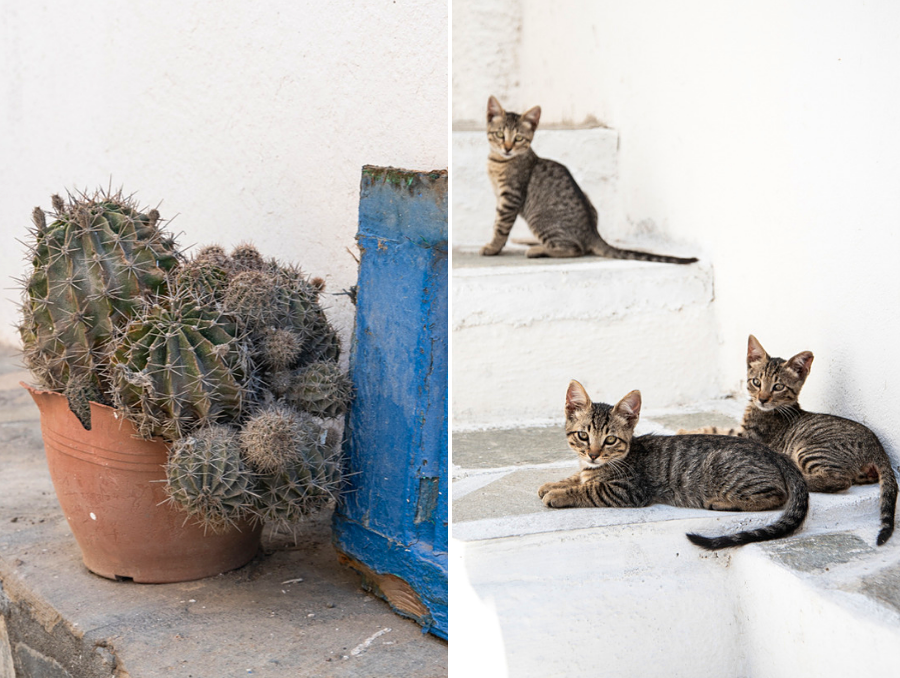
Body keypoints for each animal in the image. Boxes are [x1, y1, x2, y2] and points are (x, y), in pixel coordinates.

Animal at [482, 95, 700, 262]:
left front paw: (493, 247)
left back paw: (538, 250)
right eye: (500, 134)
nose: (507, 148)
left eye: (519, 138)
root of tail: (593, 232)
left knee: (575, 249)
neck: (499, 162)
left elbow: (500, 226)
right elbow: (497, 224)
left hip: (540, 219)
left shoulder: (510, 197)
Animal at [536, 382, 812, 552]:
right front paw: (553, 483)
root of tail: (774, 453)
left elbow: (589, 489)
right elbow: (579, 478)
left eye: (610, 440)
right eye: (583, 436)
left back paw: (723, 503)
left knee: (776, 495)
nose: (593, 454)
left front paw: (558, 494)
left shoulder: (629, 490)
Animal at [680, 336, 896, 548]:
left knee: (840, 480)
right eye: (756, 382)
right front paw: (686, 429)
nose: (762, 399)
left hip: (810, 448)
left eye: (778, 387)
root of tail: (878, 447)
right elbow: (719, 429)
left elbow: (721, 433)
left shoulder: (750, 438)